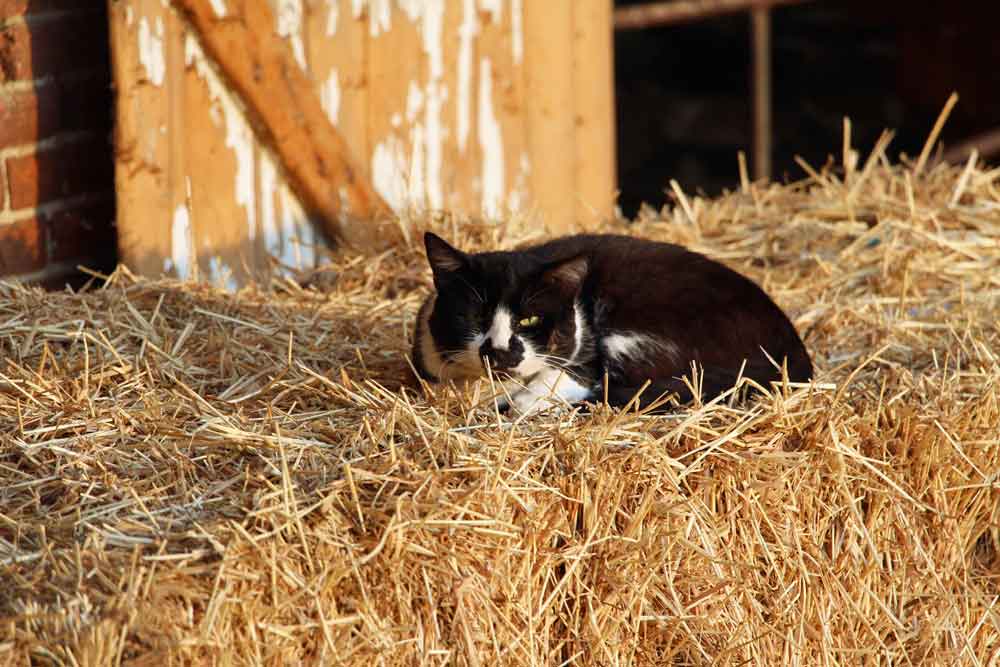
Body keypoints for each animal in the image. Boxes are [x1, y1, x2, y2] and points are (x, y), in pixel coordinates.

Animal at [414, 232, 812, 414]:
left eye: (529, 319)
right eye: (476, 316)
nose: (499, 352)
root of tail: (794, 348)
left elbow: (573, 375)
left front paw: (526, 400)